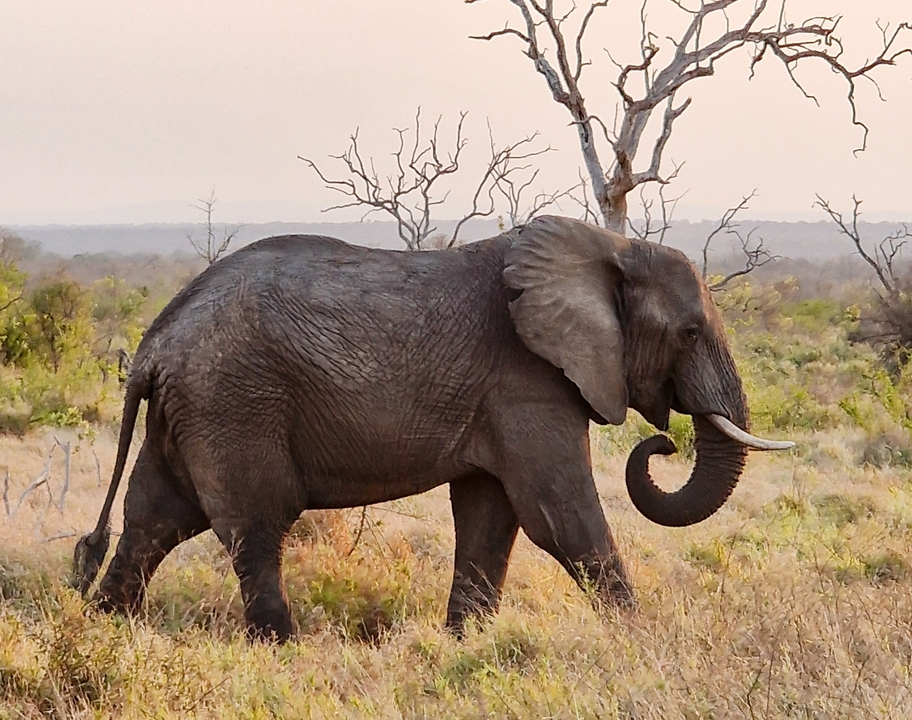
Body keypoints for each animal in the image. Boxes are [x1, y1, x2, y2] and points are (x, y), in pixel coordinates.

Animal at [72, 215, 792, 641]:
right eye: (690, 332)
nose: (663, 440)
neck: (608, 248)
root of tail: (155, 342)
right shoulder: (527, 380)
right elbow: (559, 514)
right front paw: (636, 640)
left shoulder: (502, 397)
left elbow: (491, 519)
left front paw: (462, 645)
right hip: (234, 401)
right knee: (254, 525)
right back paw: (282, 646)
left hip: (191, 410)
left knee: (154, 521)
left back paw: (104, 630)